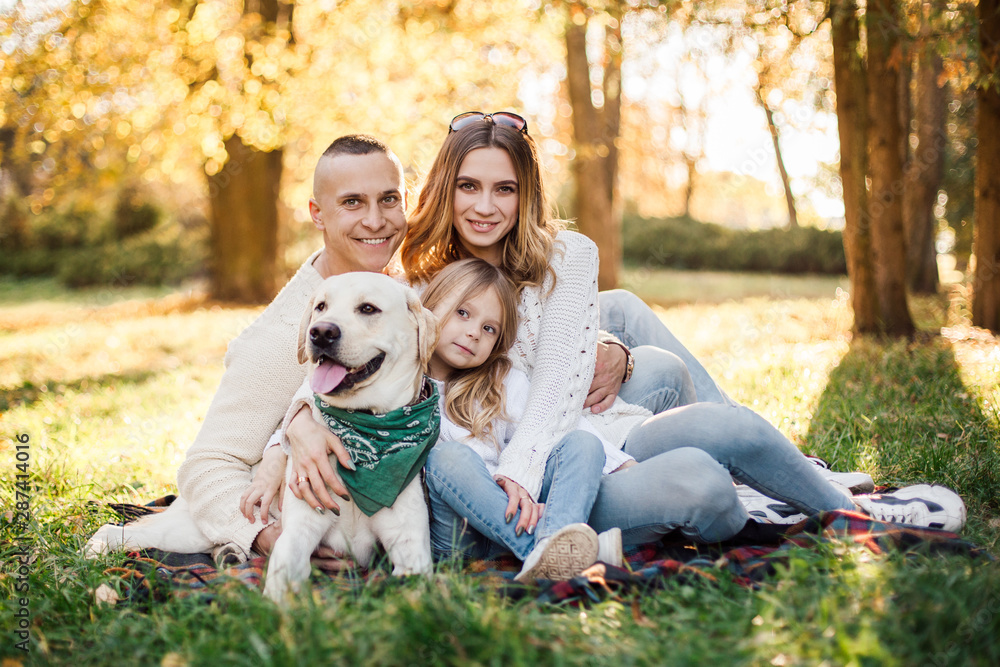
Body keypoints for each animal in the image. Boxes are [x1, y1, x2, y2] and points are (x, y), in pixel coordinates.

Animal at [88, 274, 440, 604]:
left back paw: (229, 553)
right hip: (189, 531)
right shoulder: (298, 532)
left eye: (368, 309)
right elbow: (282, 576)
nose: (320, 332)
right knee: (118, 530)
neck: (362, 435)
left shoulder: (410, 546)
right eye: (321, 306)